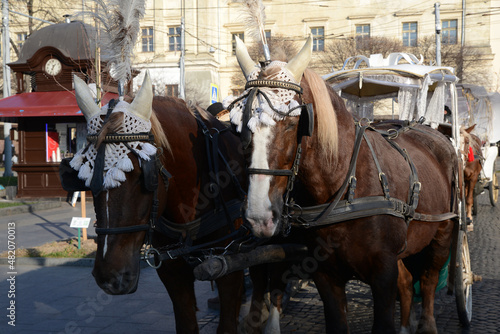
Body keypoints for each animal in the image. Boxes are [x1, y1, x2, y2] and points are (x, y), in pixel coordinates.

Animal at [70, 74, 248, 332]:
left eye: (142, 176)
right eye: (87, 176)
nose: (110, 277)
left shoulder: (230, 263)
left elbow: (227, 323)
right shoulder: (172, 272)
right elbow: (186, 324)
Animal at [230, 35, 460, 332]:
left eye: (293, 123)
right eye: (239, 126)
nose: (259, 216)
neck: (345, 189)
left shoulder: (383, 274)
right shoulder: (326, 275)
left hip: (442, 234)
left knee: (430, 280)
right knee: (408, 284)